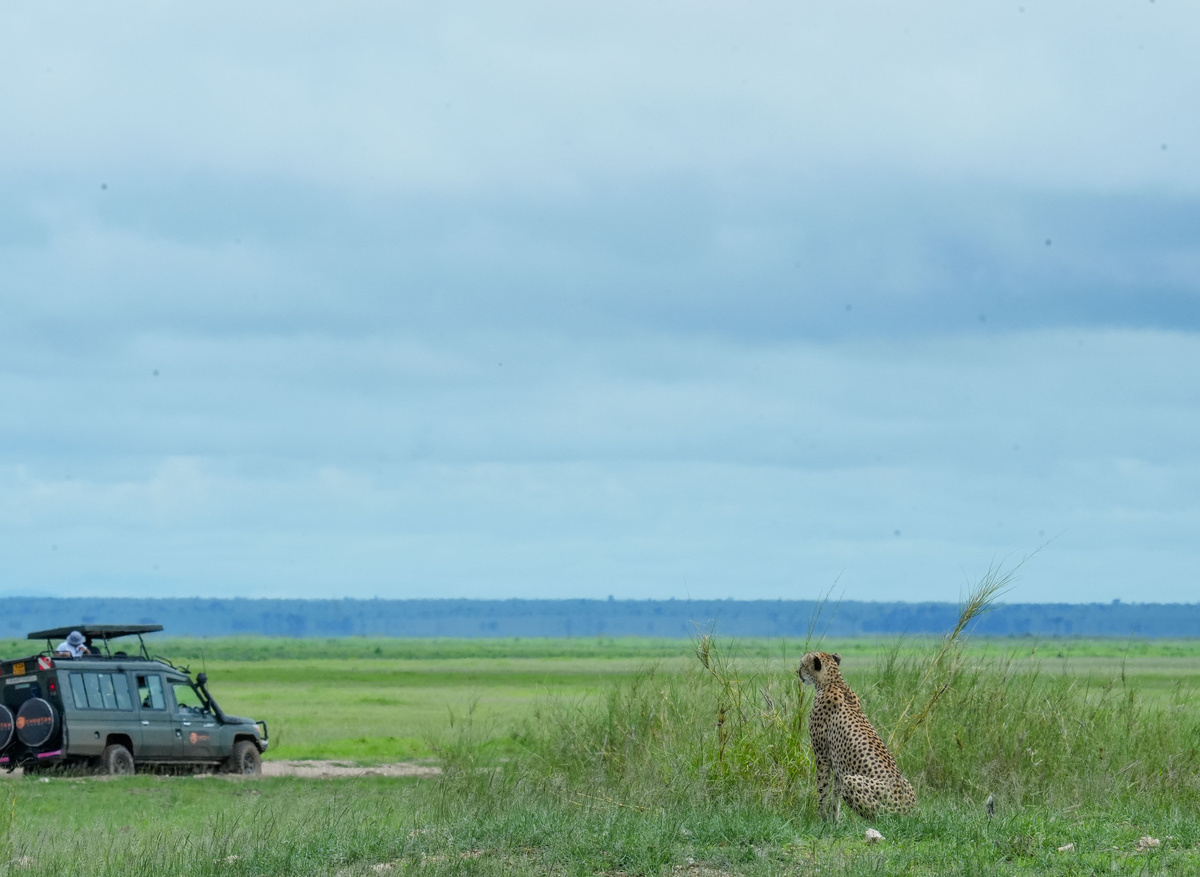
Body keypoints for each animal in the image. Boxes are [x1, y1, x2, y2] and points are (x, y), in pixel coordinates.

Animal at [798, 650, 917, 821]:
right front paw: (834, 820)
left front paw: (821, 817)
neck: (832, 682)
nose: (798, 672)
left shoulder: (822, 756)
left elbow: (822, 789)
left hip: (853, 781)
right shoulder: (838, 764)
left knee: (882, 818)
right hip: (904, 782)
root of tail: (911, 812)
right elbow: (835, 794)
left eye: (802, 664)